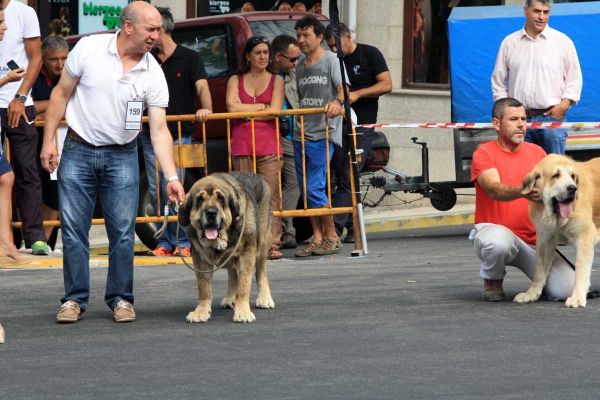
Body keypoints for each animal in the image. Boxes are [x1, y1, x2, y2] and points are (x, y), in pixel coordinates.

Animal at [177, 172, 274, 322]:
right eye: (200, 199)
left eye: (221, 199)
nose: (211, 213)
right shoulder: (200, 260)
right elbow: (204, 288)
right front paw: (201, 311)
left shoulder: (247, 254)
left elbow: (244, 285)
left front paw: (243, 311)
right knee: (232, 274)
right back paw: (230, 298)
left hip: (262, 244)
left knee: (261, 271)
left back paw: (264, 298)